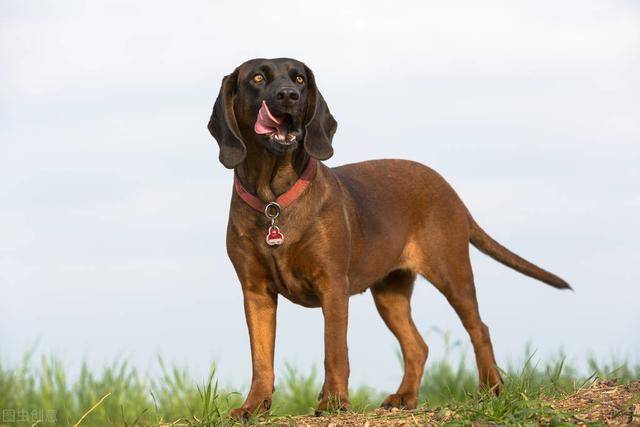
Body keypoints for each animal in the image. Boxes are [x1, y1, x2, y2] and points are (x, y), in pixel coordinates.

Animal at [206, 57, 568, 422]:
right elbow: (261, 359)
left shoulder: (332, 285)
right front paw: (253, 406)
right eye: (257, 78)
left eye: (299, 79)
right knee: (418, 346)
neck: (274, 201)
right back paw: (404, 397)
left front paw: (333, 402)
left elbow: (334, 351)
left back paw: (491, 390)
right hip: (389, 292)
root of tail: (451, 190)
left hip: (452, 273)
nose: (289, 96)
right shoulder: (256, 292)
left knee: (479, 329)